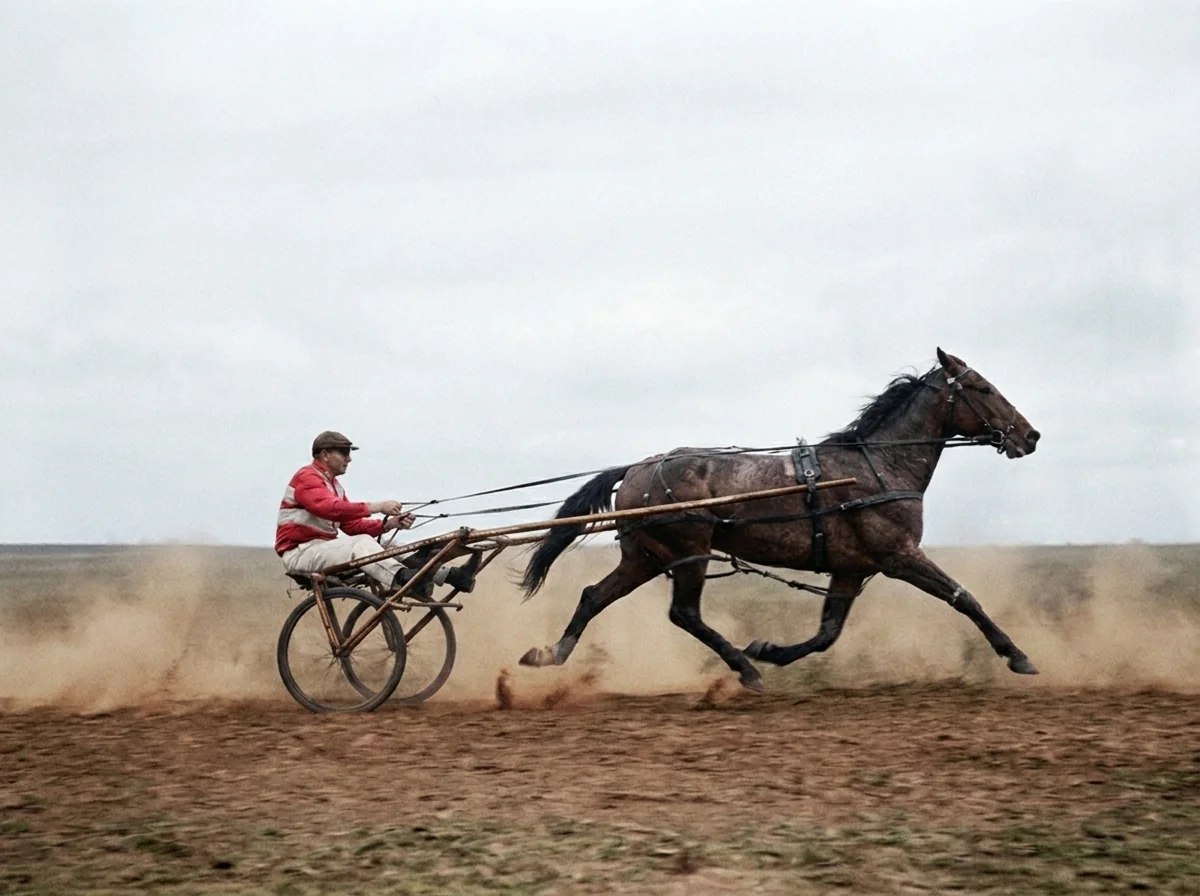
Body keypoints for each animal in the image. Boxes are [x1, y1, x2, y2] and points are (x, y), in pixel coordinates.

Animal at [517, 348, 1042, 692]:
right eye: (981, 388)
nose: (1030, 435)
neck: (877, 466)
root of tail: (637, 469)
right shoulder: (899, 555)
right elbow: (964, 597)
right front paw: (1018, 656)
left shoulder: (851, 567)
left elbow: (827, 634)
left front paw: (770, 650)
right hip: (689, 551)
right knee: (683, 613)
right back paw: (744, 671)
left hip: (646, 556)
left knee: (594, 596)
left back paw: (549, 654)